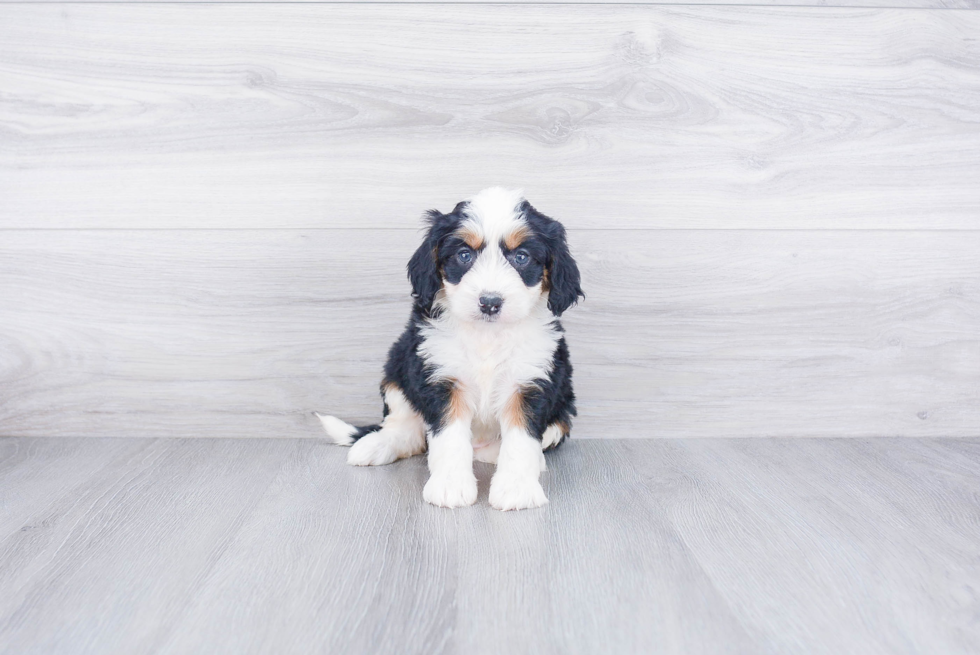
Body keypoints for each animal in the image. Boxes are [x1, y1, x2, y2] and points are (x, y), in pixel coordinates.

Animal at [320, 187, 580, 510]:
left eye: (521, 257)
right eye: (464, 255)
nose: (490, 302)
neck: (487, 334)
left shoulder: (530, 381)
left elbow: (521, 439)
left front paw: (516, 488)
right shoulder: (441, 375)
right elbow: (448, 436)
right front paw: (450, 486)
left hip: (563, 407)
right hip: (398, 363)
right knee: (405, 429)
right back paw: (376, 445)